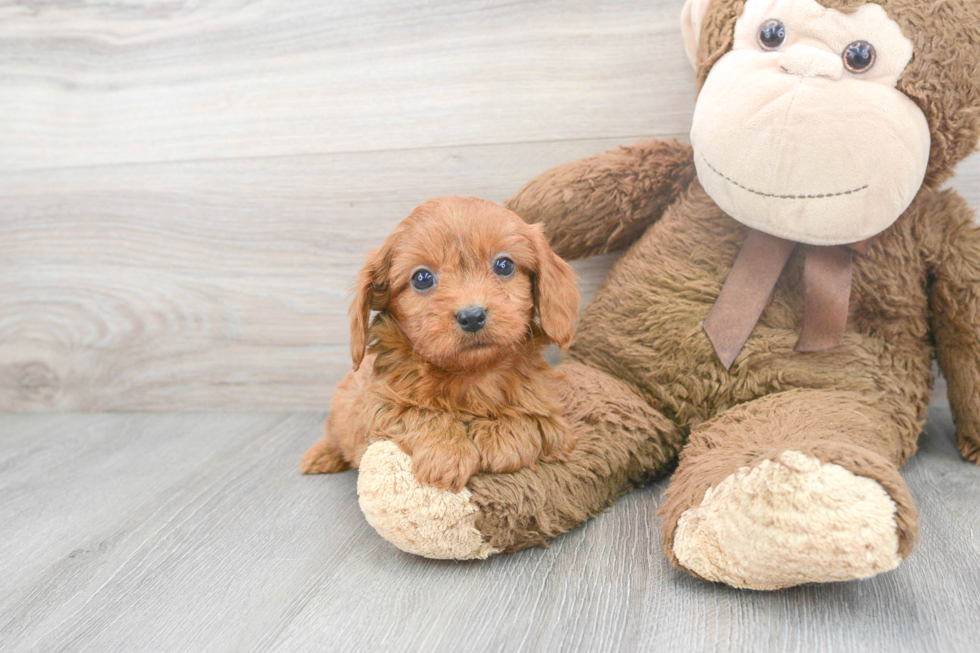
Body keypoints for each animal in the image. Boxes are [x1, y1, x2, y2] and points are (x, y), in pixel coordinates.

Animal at [294, 196, 580, 492]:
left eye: (504, 265)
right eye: (422, 278)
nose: (472, 316)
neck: (472, 374)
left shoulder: (552, 415)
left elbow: (533, 418)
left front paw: (503, 435)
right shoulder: (374, 406)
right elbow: (416, 412)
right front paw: (446, 452)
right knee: (334, 433)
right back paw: (320, 456)